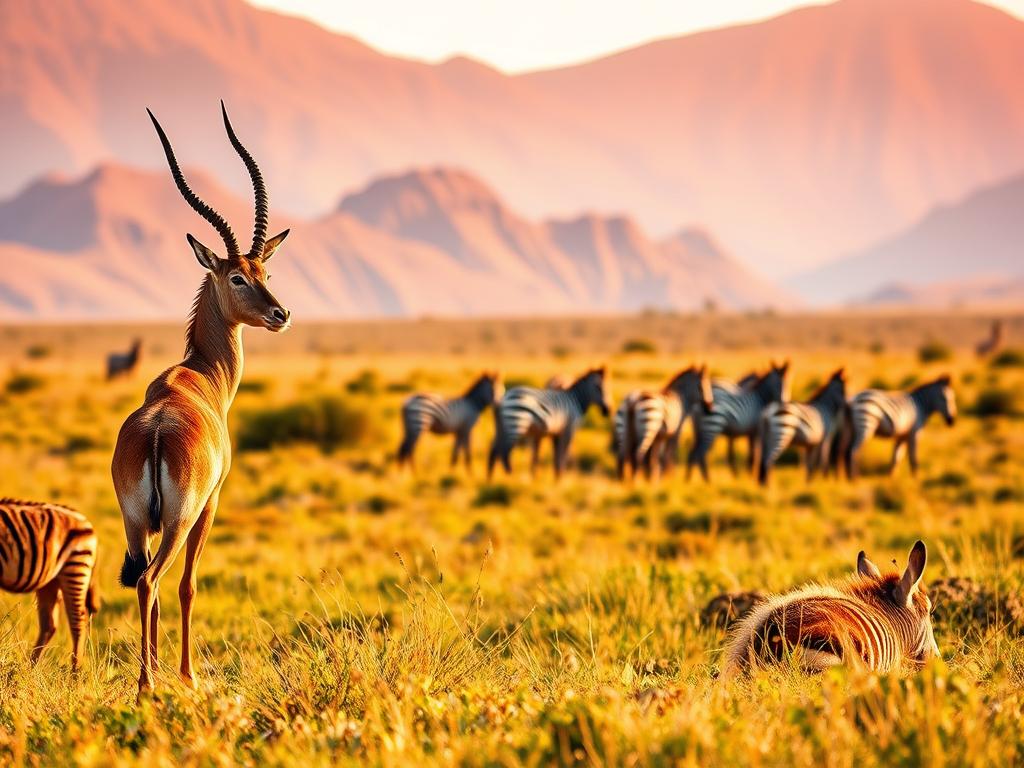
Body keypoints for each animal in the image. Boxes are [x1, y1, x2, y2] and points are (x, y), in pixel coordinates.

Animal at [0, 499, 100, 670]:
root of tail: (84, 521)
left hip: (75, 568)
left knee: (78, 622)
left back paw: (75, 674)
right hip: (51, 580)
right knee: (49, 625)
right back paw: (30, 669)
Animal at [112, 103, 291, 698]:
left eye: (265, 271)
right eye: (237, 276)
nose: (281, 313)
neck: (198, 377)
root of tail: (156, 436)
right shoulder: (211, 503)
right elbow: (191, 586)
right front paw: (189, 676)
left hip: (135, 522)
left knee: (141, 581)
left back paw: (147, 678)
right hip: (177, 521)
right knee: (156, 580)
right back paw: (151, 683)